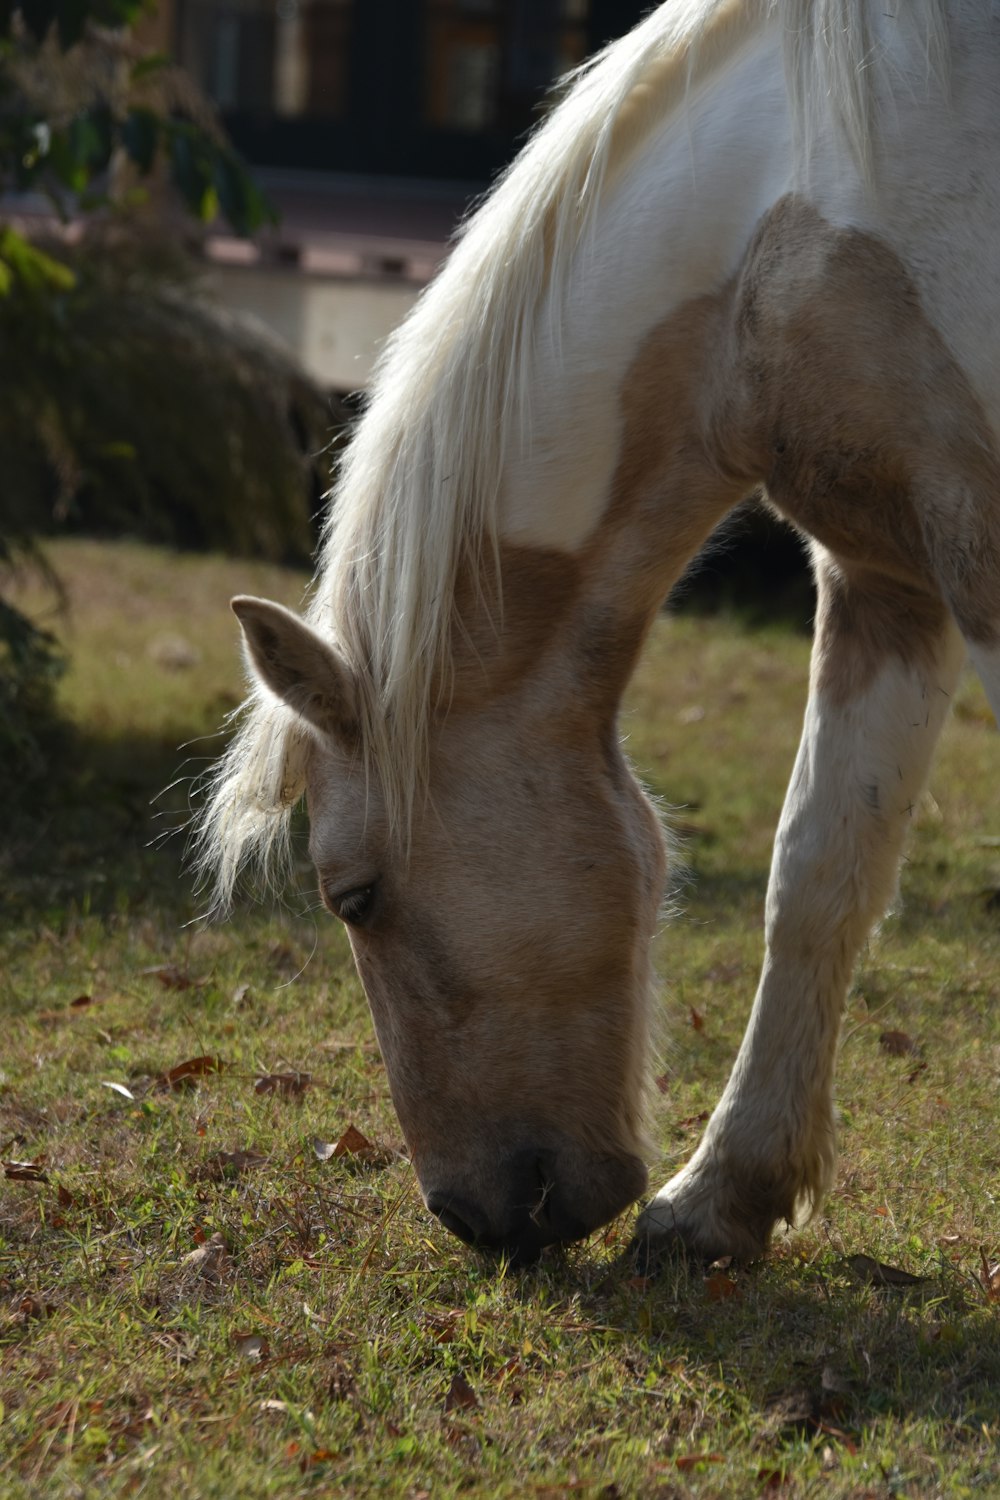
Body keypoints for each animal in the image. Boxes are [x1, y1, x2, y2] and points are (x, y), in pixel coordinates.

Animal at [191, 0, 995, 1266]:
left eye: (352, 896)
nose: (475, 1218)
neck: (798, 205)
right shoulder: (890, 580)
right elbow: (816, 878)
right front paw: (723, 1197)